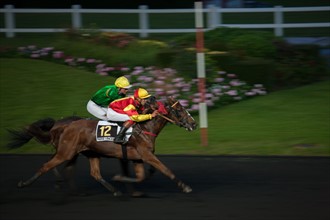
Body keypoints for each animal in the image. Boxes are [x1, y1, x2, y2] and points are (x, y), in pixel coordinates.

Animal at [8, 96, 196, 196]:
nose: (193, 123)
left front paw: (125, 183)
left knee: (91, 173)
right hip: (67, 152)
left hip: (86, 153)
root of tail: (65, 125)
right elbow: (165, 169)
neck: (144, 128)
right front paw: (185, 186)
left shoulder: (137, 157)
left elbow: (142, 175)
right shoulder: (146, 155)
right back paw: (24, 183)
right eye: (180, 110)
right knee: (47, 165)